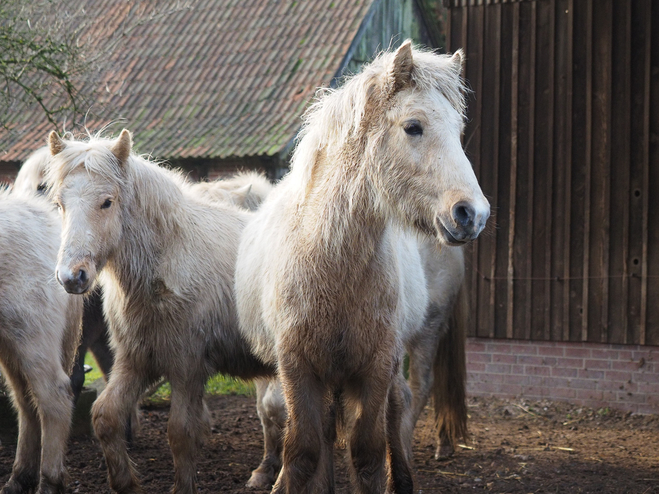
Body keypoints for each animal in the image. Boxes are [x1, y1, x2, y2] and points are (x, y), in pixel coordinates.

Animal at [237, 40, 490, 492]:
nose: (472, 214)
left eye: (458, 132)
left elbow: (368, 455)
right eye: (413, 127)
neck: (330, 262)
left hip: (420, 338)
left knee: (407, 398)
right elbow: (302, 450)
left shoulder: (374, 368)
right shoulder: (298, 369)